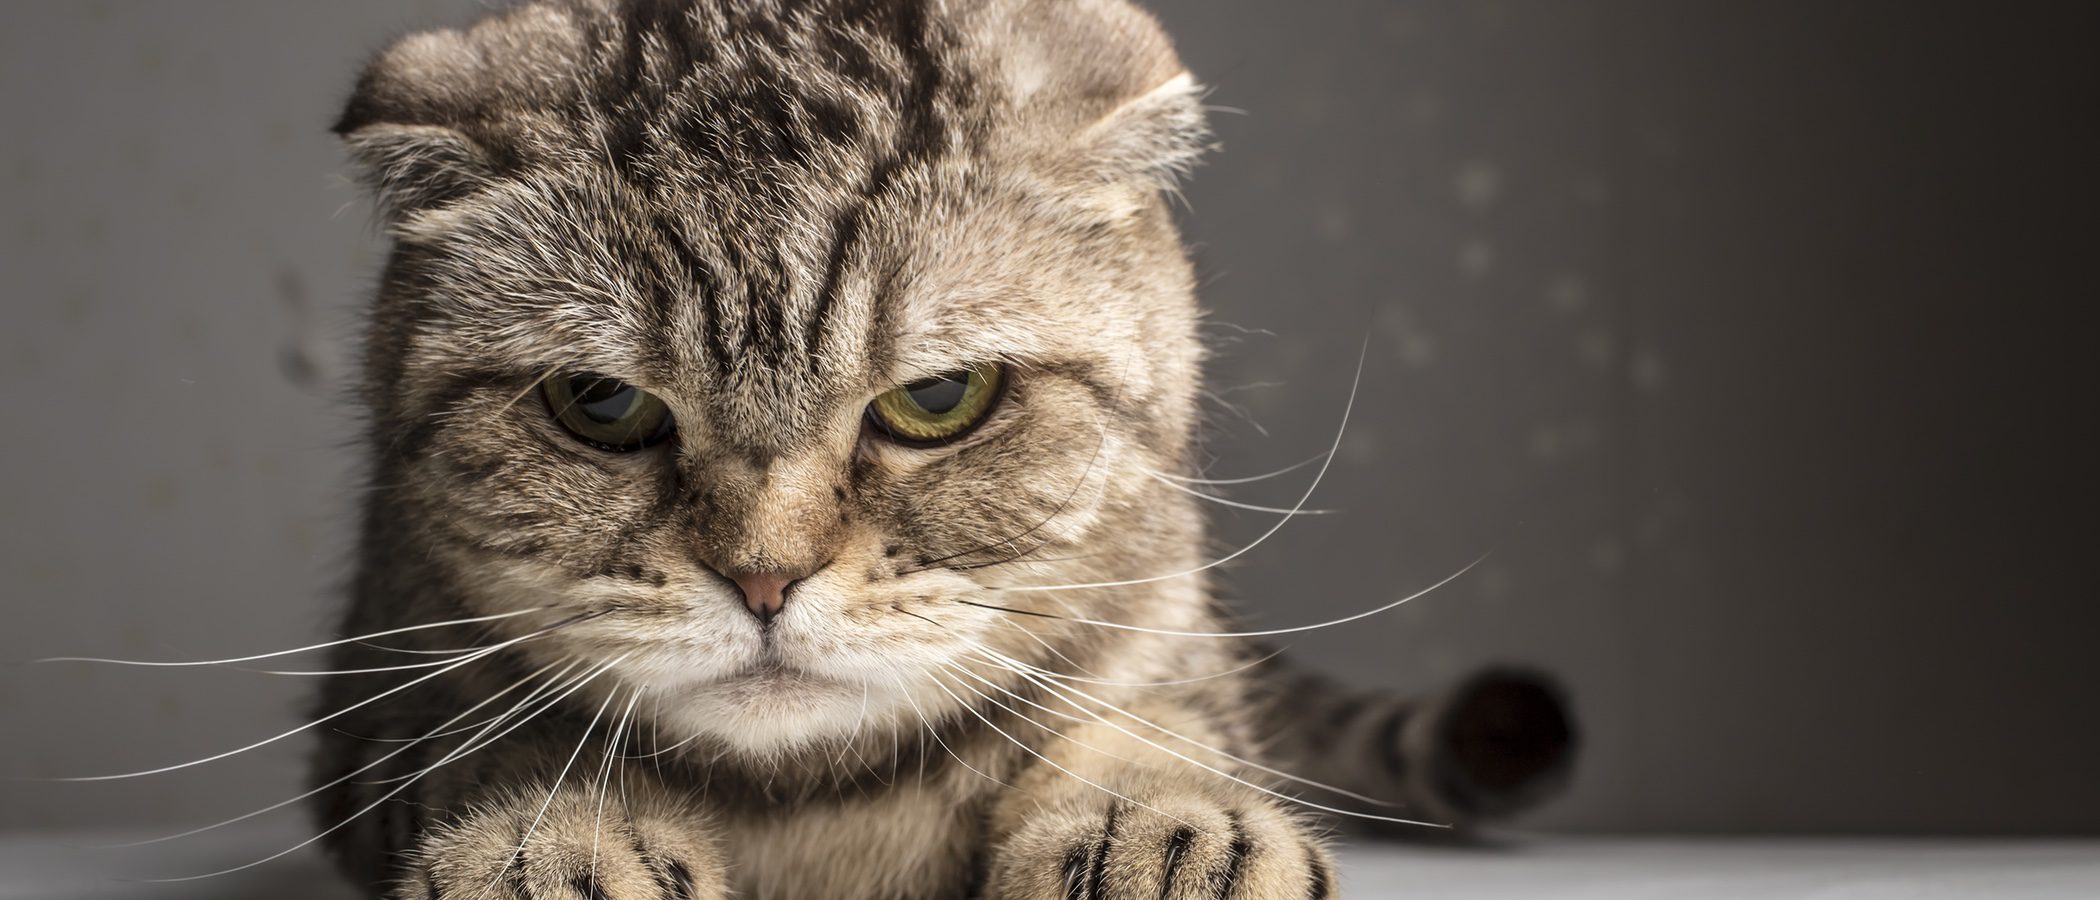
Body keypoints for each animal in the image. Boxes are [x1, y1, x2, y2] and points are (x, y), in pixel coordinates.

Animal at [310, 1, 1579, 897]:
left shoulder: (1162, 634)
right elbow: (497, 758)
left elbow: (1161, 731)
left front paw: (1171, 828)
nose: (764, 578)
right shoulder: (381, 705)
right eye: (602, 403)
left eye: (937, 396)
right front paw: (550, 842)